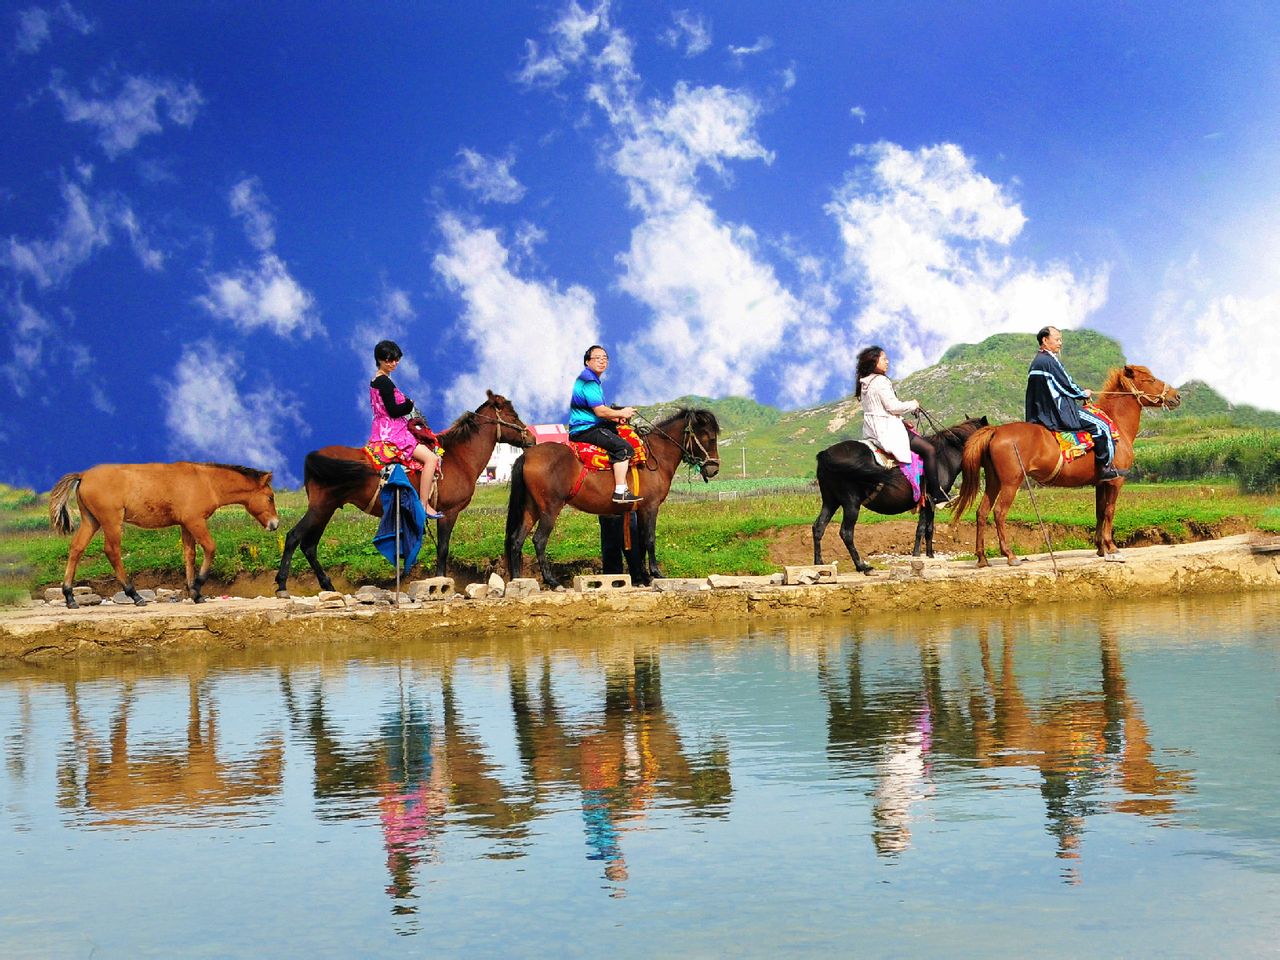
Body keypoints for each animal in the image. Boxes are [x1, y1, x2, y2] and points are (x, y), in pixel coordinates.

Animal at [51, 460, 280, 609]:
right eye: (270, 497)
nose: (275, 524)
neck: (206, 481)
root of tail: (83, 475)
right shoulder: (196, 521)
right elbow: (210, 548)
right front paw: (198, 586)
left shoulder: (186, 525)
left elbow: (189, 555)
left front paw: (194, 593)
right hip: (111, 521)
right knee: (112, 551)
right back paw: (134, 595)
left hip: (91, 521)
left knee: (76, 548)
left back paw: (70, 597)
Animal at [272, 389, 532, 599]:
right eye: (512, 415)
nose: (531, 437)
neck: (459, 458)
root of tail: (315, 456)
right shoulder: (448, 512)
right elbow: (443, 549)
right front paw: (441, 584)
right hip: (320, 507)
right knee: (294, 537)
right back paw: (283, 585)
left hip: (326, 508)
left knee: (309, 545)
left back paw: (327, 585)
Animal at [501, 407, 721, 586]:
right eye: (710, 438)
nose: (714, 469)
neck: (656, 456)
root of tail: (526, 455)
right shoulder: (650, 507)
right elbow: (649, 539)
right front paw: (655, 574)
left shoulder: (639, 510)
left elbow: (640, 542)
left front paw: (643, 577)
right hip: (550, 508)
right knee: (539, 540)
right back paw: (552, 581)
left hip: (531, 508)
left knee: (516, 540)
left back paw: (518, 580)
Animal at [808, 417, 988, 576]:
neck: (944, 458)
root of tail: (825, 454)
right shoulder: (929, 499)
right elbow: (922, 529)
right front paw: (917, 556)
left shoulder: (930, 502)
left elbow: (929, 529)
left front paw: (930, 557)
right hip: (851, 503)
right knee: (846, 533)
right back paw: (863, 567)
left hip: (831, 501)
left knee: (818, 527)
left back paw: (819, 564)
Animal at [952, 363, 1177, 568]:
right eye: (1150, 380)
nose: (1176, 396)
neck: (1116, 425)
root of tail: (996, 431)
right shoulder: (1115, 480)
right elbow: (1109, 511)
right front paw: (1112, 547)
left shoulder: (1101, 482)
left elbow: (1099, 512)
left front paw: (1100, 548)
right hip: (1010, 483)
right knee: (999, 513)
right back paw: (1010, 555)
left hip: (993, 481)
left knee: (981, 512)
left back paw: (982, 558)